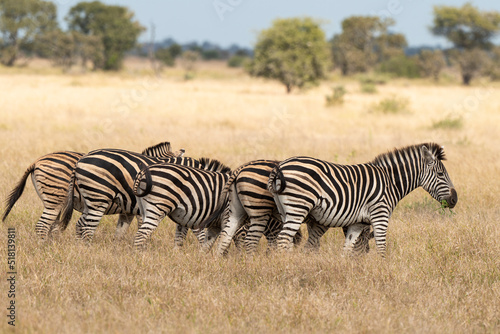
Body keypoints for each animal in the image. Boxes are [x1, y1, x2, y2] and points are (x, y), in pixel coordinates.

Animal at [1, 142, 182, 239]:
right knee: (43, 225)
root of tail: (37, 161)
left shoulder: (129, 210)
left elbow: (121, 232)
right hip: (56, 199)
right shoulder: (139, 207)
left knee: (51, 225)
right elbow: (142, 227)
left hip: (53, 199)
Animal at [55, 147, 203, 244]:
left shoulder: (130, 210)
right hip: (96, 197)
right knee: (85, 227)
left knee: (79, 225)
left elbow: (121, 232)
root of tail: (80, 161)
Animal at [199, 159, 372, 256]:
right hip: (259, 208)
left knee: (226, 235)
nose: (364, 255)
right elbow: (313, 240)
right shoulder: (321, 220)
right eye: (365, 232)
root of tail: (241, 168)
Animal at [268, 142, 458, 258]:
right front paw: (383, 272)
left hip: (285, 210)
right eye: (440, 174)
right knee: (283, 239)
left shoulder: (358, 223)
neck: (390, 182)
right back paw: (287, 266)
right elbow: (381, 247)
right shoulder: (380, 215)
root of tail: (280, 167)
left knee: (286, 240)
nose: (455, 199)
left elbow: (347, 249)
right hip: (298, 207)